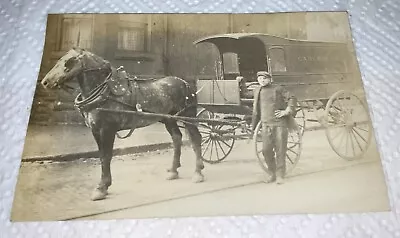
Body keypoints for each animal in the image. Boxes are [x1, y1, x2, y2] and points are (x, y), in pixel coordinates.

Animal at [41, 47, 206, 200]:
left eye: (67, 61)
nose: (45, 82)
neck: (104, 92)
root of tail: (185, 83)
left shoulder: (107, 130)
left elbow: (106, 156)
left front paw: (102, 187)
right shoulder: (95, 130)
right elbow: (102, 156)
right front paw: (104, 186)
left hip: (188, 117)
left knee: (196, 139)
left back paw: (198, 173)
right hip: (168, 118)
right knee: (177, 138)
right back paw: (173, 170)